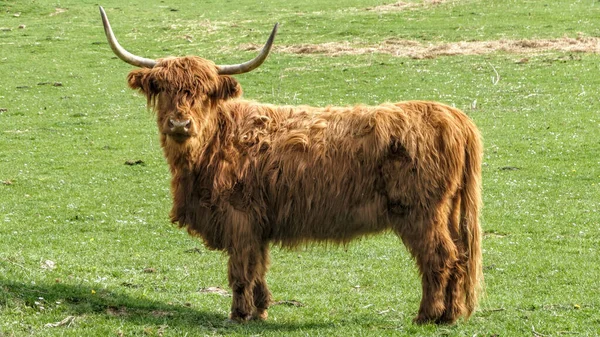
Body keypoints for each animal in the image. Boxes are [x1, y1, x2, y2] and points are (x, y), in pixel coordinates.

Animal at [98, 6, 482, 324]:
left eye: (205, 92)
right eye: (162, 87)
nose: (180, 124)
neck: (211, 147)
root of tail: (450, 115)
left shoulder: (239, 217)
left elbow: (240, 270)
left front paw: (240, 314)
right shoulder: (258, 222)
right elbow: (258, 267)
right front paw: (261, 309)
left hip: (419, 212)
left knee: (440, 258)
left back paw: (427, 315)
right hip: (447, 211)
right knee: (460, 257)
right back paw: (451, 315)